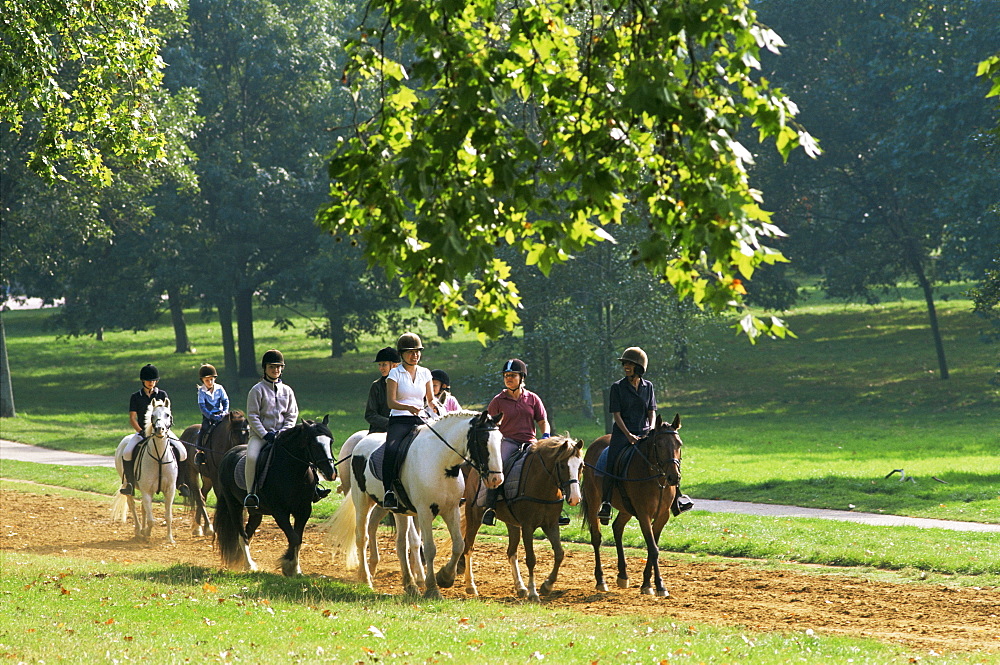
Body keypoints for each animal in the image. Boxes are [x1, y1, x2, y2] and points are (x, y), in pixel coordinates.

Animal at [112, 396, 183, 544]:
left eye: (167, 414)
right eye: (152, 416)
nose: (159, 429)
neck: (159, 457)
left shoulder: (170, 491)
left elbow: (168, 516)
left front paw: (170, 539)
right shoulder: (146, 491)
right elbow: (151, 520)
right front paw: (146, 533)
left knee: (143, 508)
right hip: (127, 485)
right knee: (132, 505)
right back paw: (139, 531)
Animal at [211, 416, 336, 576]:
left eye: (331, 442)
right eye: (314, 444)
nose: (331, 473)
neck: (292, 471)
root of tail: (229, 453)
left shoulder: (303, 511)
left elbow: (298, 539)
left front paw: (296, 569)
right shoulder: (280, 513)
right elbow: (294, 538)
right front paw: (288, 566)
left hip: (255, 512)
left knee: (249, 532)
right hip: (234, 505)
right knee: (242, 534)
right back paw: (249, 565)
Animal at [324, 408, 504, 600]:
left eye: (500, 439)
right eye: (483, 441)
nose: (496, 479)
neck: (441, 461)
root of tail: (361, 442)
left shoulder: (451, 510)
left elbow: (458, 545)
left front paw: (445, 577)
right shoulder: (425, 512)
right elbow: (430, 549)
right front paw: (432, 588)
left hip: (398, 510)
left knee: (400, 544)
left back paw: (409, 584)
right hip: (362, 501)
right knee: (361, 537)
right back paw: (366, 579)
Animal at [462, 436, 584, 600]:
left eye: (581, 466)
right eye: (563, 465)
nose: (575, 498)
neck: (543, 485)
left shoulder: (551, 524)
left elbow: (559, 554)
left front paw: (547, 586)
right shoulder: (528, 526)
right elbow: (531, 559)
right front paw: (533, 592)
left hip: (512, 523)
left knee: (511, 553)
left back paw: (520, 587)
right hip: (473, 517)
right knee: (468, 547)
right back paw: (471, 586)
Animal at [580, 416, 680, 596]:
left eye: (679, 444)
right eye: (659, 444)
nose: (674, 477)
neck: (656, 479)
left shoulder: (662, 516)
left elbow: (653, 547)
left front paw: (647, 584)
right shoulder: (643, 515)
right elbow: (653, 548)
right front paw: (659, 585)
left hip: (626, 508)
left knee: (617, 527)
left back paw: (623, 575)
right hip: (593, 501)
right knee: (596, 538)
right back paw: (601, 580)